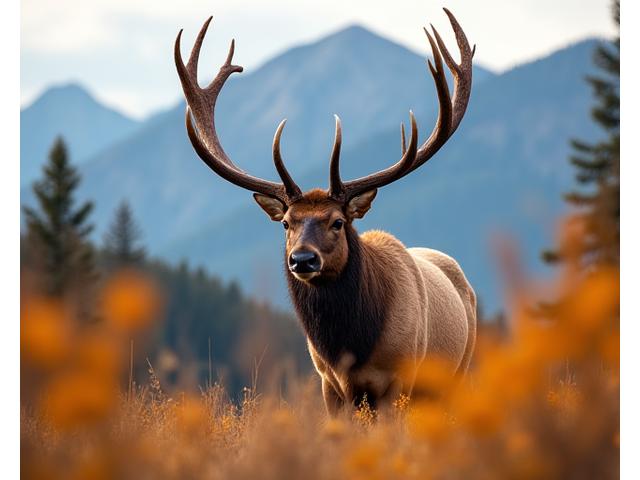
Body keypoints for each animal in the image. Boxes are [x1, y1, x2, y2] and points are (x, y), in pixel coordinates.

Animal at [175, 8, 477, 415]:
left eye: (337, 222)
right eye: (287, 223)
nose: (303, 259)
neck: (352, 347)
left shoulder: (399, 381)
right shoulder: (328, 382)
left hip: (459, 369)